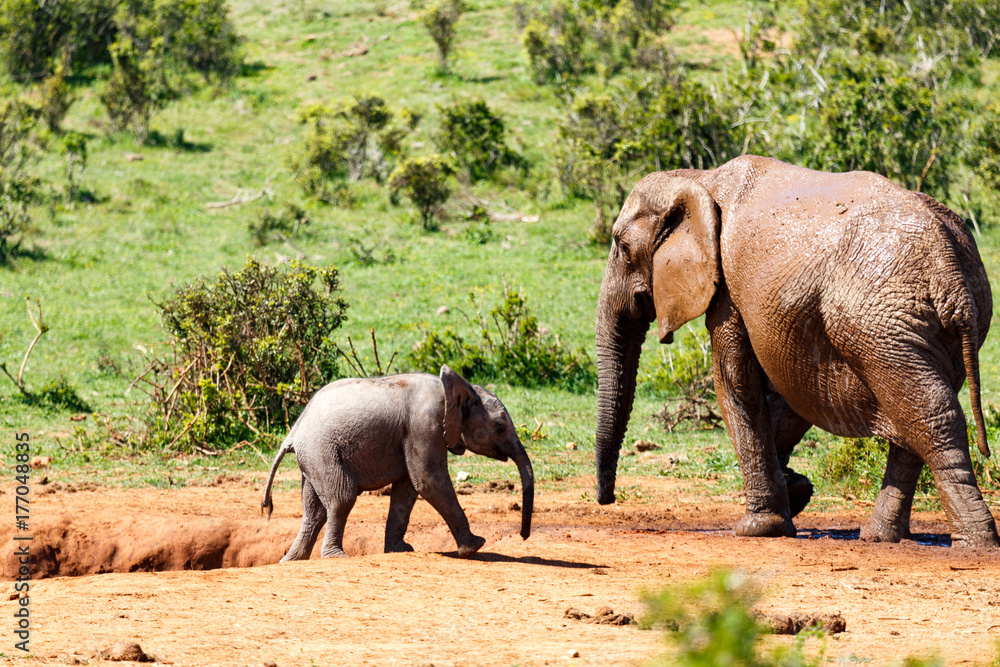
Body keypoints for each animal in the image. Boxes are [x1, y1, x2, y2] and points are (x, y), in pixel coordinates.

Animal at [261, 365, 534, 559]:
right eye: (499, 427)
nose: (524, 536)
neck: (456, 387)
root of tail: (294, 432)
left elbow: (407, 489)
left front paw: (400, 550)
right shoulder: (424, 424)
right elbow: (428, 481)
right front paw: (475, 546)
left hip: (312, 456)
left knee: (314, 510)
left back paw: (292, 561)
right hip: (321, 451)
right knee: (342, 497)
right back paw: (335, 557)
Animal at [594, 155, 996, 547]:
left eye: (623, 248)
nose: (606, 500)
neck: (699, 179)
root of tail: (947, 262)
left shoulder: (727, 290)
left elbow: (736, 383)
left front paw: (759, 528)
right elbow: (789, 391)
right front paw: (796, 490)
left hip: (881, 321)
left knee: (928, 414)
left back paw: (974, 541)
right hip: (935, 321)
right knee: (917, 413)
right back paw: (881, 536)